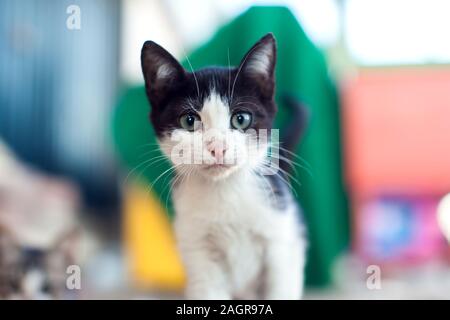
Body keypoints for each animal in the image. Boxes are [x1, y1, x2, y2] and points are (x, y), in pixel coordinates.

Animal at [142, 33, 306, 298]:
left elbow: (280, 286)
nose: (217, 147)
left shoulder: (281, 240)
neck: (225, 191)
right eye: (189, 121)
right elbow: (208, 288)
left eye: (241, 119)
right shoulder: (197, 248)